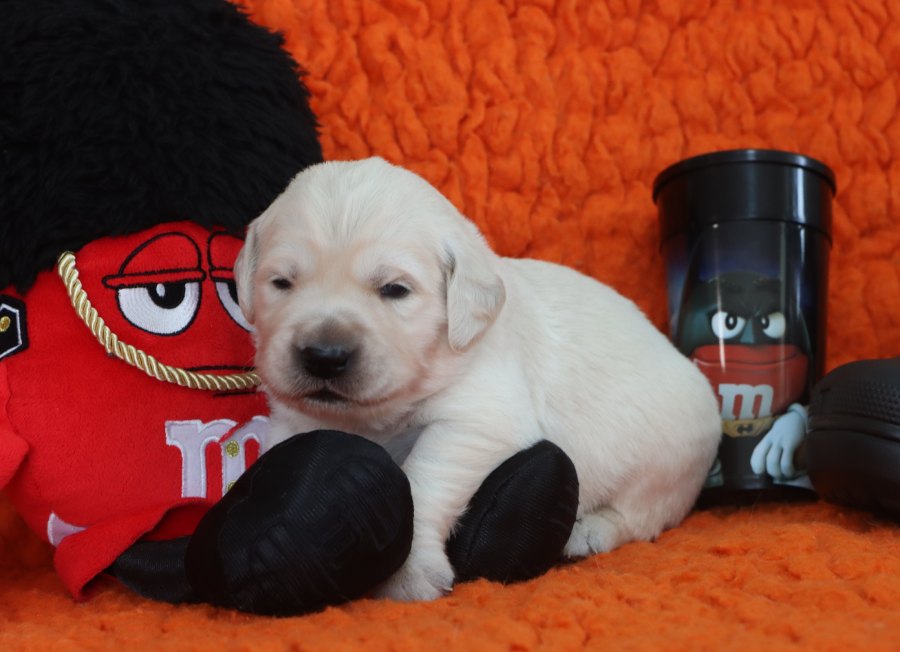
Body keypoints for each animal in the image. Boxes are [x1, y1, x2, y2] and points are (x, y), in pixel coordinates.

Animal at [234, 157, 722, 602]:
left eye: (394, 289)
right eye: (281, 283)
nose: (324, 357)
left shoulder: (477, 418)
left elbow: (422, 481)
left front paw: (408, 573)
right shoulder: (293, 422)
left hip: (669, 460)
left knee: (645, 514)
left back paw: (592, 530)